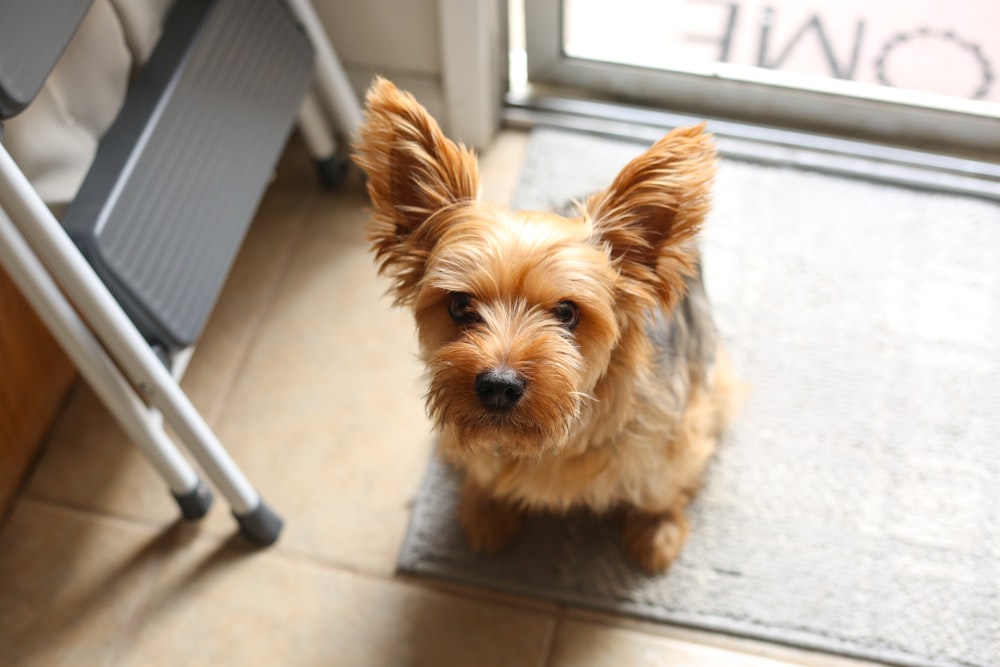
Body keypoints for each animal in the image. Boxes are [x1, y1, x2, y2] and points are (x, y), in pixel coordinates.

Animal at [352, 75, 736, 572]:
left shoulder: (678, 434)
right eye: (459, 305)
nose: (498, 385)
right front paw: (486, 508)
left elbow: (661, 485)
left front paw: (658, 528)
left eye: (567, 312)